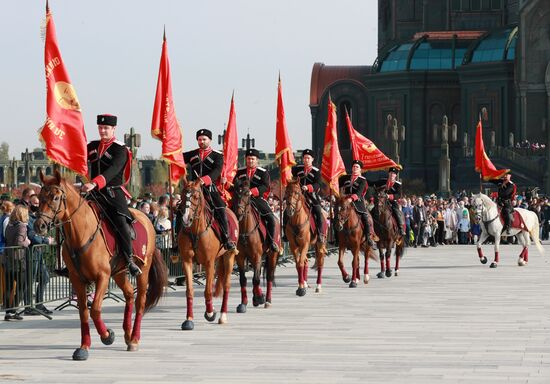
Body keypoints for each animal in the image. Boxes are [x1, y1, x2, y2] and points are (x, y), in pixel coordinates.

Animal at [34, 172, 166, 362]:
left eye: (56, 197)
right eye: (39, 196)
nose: (39, 226)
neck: (81, 233)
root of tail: (146, 219)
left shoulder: (102, 277)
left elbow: (95, 309)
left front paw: (107, 335)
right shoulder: (77, 279)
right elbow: (83, 311)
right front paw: (84, 347)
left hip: (143, 269)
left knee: (140, 301)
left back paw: (134, 339)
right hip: (118, 273)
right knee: (129, 295)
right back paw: (127, 334)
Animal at [177, 178, 237, 328]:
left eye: (196, 196)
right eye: (182, 195)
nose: (185, 219)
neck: (195, 231)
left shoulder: (209, 262)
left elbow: (208, 290)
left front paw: (210, 312)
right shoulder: (187, 261)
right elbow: (189, 290)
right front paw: (189, 319)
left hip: (229, 256)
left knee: (226, 285)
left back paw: (223, 315)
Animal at [232, 181, 280, 312]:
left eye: (246, 194)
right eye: (235, 193)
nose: (238, 212)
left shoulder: (256, 256)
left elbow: (256, 279)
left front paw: (258, 298)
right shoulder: (240, 258)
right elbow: (243, 279)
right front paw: (243, 303)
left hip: (272, 255)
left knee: (269, 277)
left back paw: (267, 300)